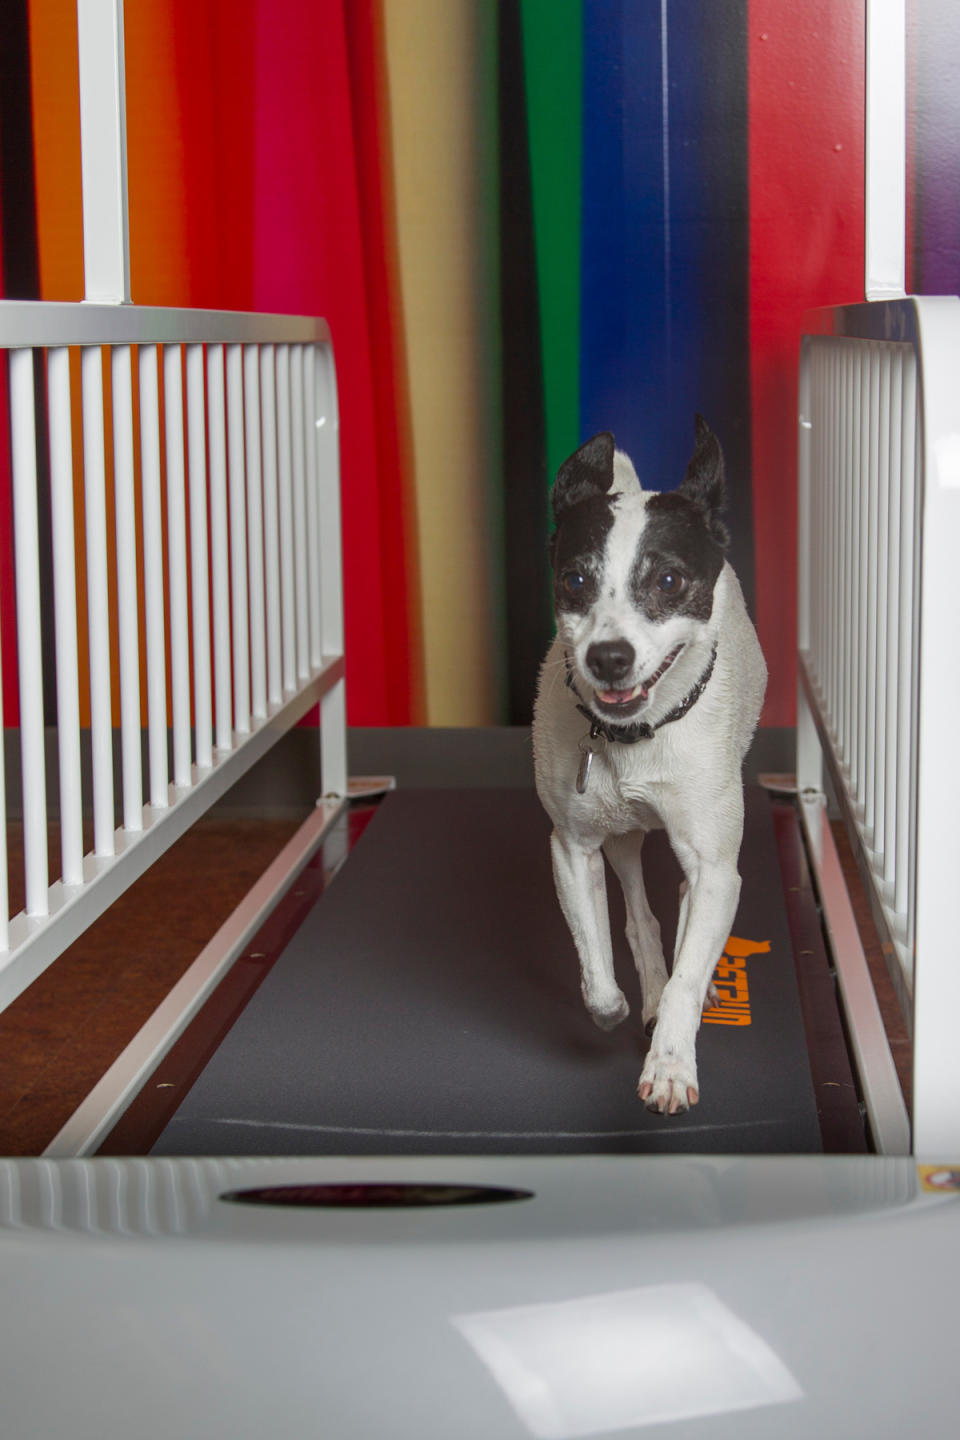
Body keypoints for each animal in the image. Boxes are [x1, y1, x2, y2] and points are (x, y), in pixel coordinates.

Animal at [532, 417, 765, 1111]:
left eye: (668, 583)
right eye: (575, 581)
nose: (608, 657)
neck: (633, 737)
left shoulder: (716, 865)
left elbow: (692, 955)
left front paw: (670, 1064)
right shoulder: (573, 847)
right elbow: (600, 971)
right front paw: (627, 1002)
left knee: (686, 901)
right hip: (621, 838)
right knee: (639, 910)